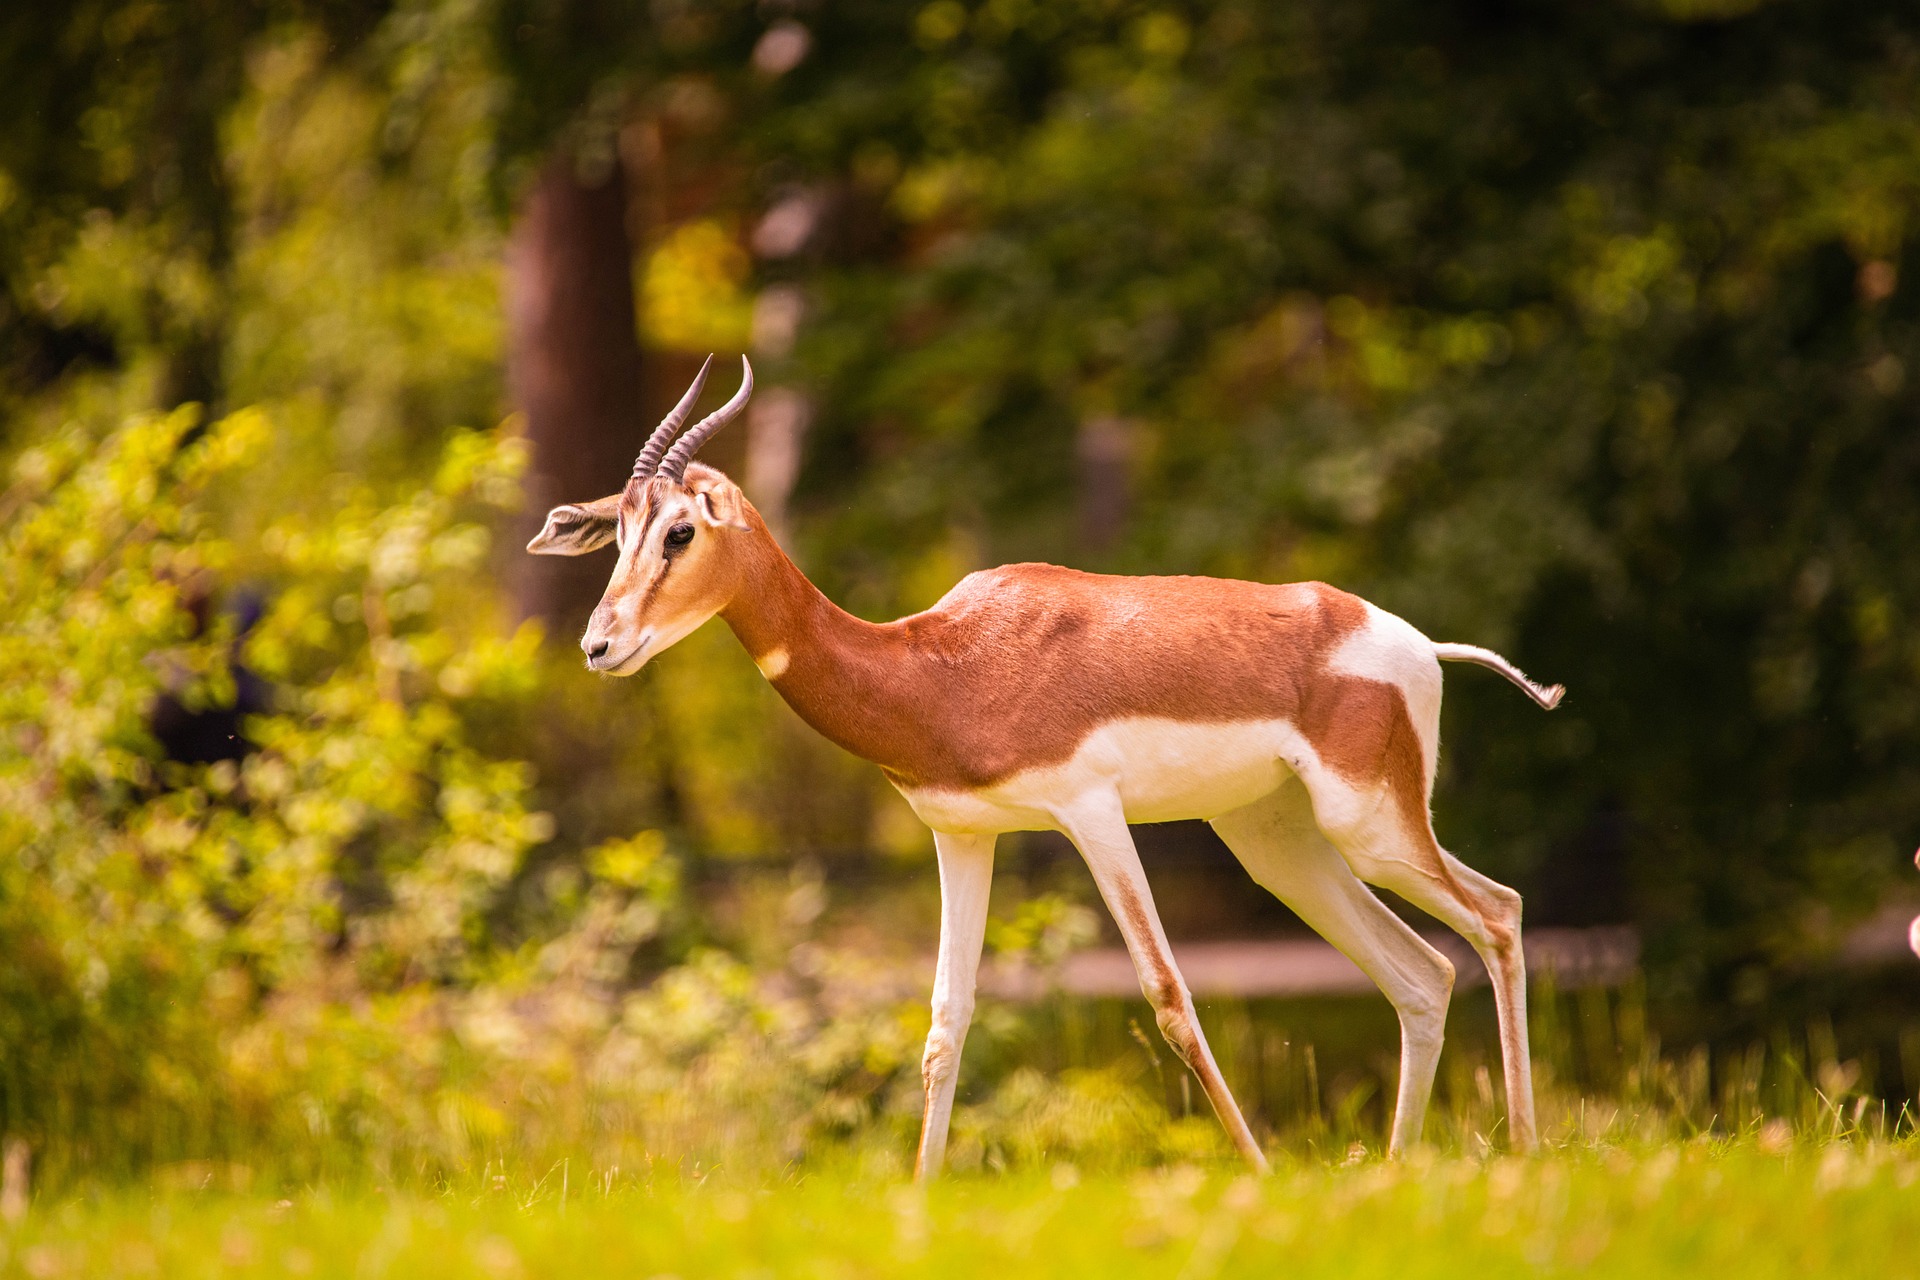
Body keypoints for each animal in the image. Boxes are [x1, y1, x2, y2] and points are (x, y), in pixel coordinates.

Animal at [530, 356, 1565, 1175]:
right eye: (617, 533)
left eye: (678, 531)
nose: (599, 645)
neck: (940, 666)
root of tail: (1416, 642)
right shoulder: (962, 836)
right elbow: (945, 1024)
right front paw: (920, 1196)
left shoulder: (1091, 814)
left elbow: (1171, 996)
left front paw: (1262, 1172)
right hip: (1280, 844)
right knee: (1423, 972)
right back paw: (1398, 1164)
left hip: (1370, 823)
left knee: (1497, 913)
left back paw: (1521, 1147)